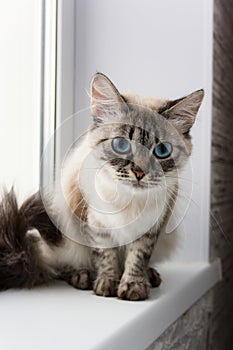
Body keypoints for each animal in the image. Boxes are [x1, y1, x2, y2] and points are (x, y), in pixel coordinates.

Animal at [0, 72, 204, 300]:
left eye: (161, 151)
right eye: (121, 145)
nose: (140, 172)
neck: (129, 201)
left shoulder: (150, 229)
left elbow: (137, 258)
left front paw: (133, 287)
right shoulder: (95, 225)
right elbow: (106, 256)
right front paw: (107, 285)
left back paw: (151, 276)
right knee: (59, 265)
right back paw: (81, 276)